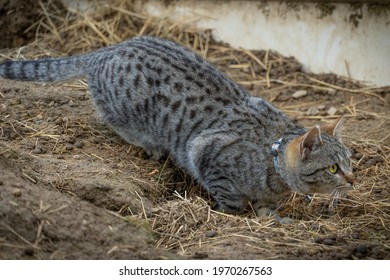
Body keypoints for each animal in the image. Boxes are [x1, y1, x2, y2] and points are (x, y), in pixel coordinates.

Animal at [0, 35, 354, 219]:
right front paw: (231, 213)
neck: (272, 157)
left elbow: (266, 204)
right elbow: (229, 198)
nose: (352, 179)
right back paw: (151, 146)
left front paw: (271, 214)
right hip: (128, 111)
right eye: (333, 168)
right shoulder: (206, 152)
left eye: (351, 162)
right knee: (116, 122)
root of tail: (108, 49)